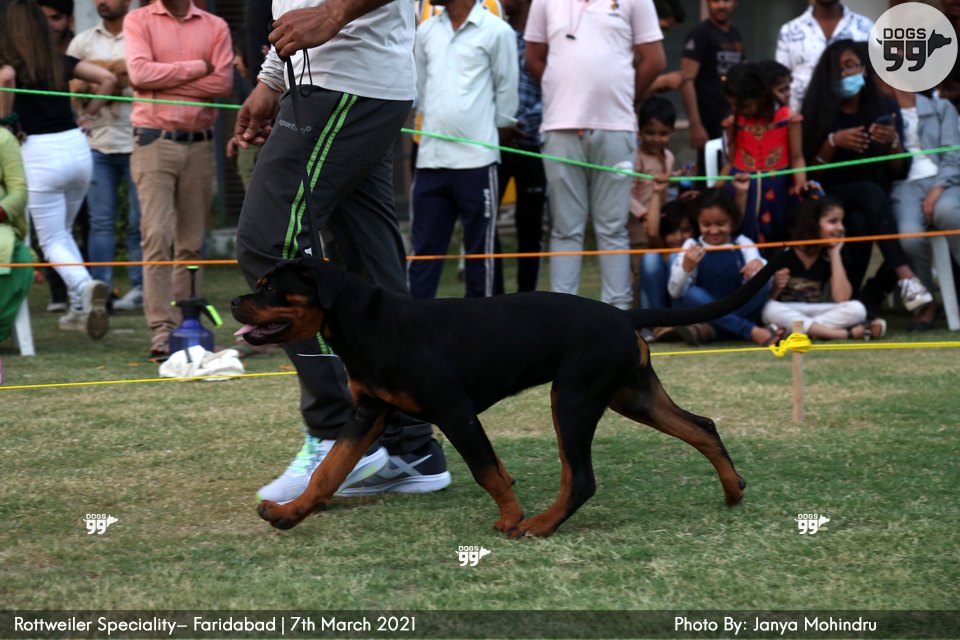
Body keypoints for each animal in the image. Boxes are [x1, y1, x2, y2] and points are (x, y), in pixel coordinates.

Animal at [232, 252, 784, 537]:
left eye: (269, 287)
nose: (236, 301)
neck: (366, 325)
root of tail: (623, 314)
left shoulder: (454, 411)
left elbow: (486, 469)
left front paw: (510, 516)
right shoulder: (368, 412)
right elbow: (329, 470)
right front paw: (288, 514)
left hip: (574, 398)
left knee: (581, 479)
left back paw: (537, 525)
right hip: (632, 396)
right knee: (702, 427)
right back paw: (733, 491)